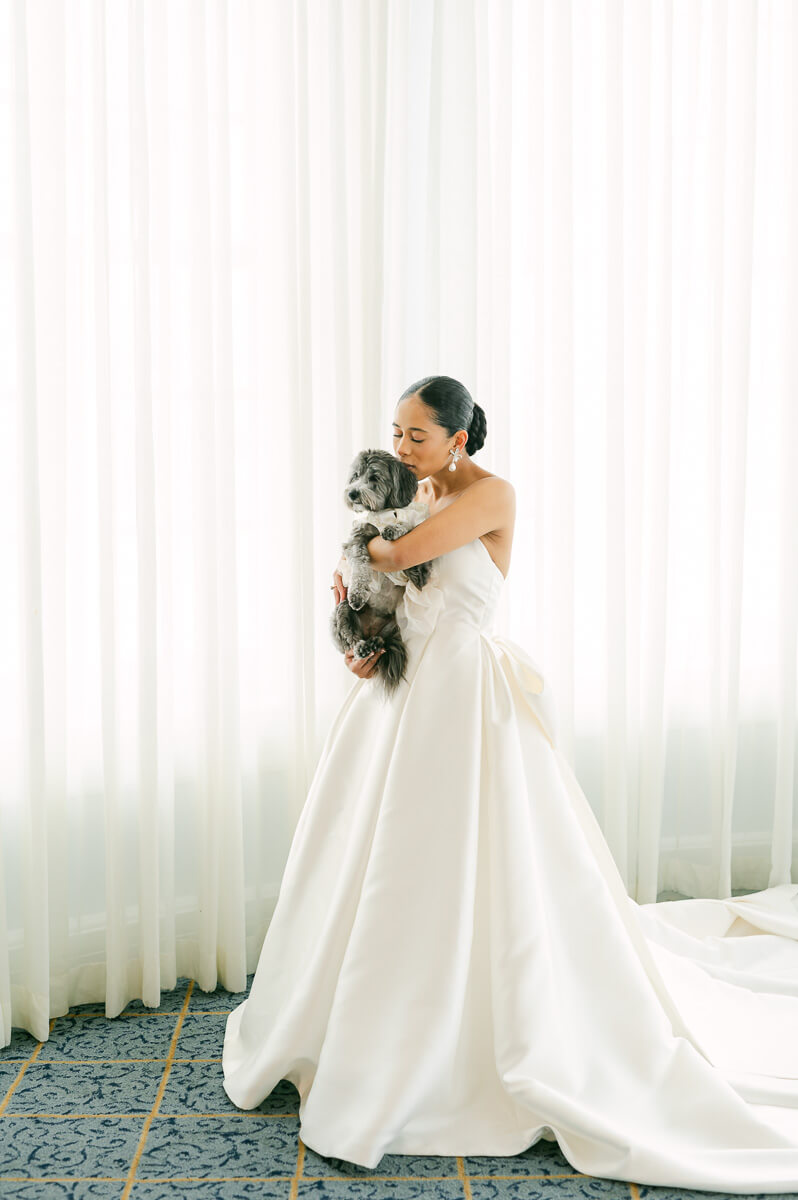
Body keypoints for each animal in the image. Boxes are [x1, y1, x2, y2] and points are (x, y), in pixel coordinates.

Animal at [328, 448, 436, 696]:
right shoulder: (355, 540)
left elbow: (409, 529)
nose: (352, 493)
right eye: (355, 476)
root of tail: (370, 631)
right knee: (351, 639)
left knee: (381, 640)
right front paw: (358, 592)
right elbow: (360, 565)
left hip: (395, 625)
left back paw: (375, 644)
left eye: (375, 478)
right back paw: (363, 647)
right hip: (341, 612)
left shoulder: (420, 541)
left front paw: (395, 530)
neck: (385, 512)